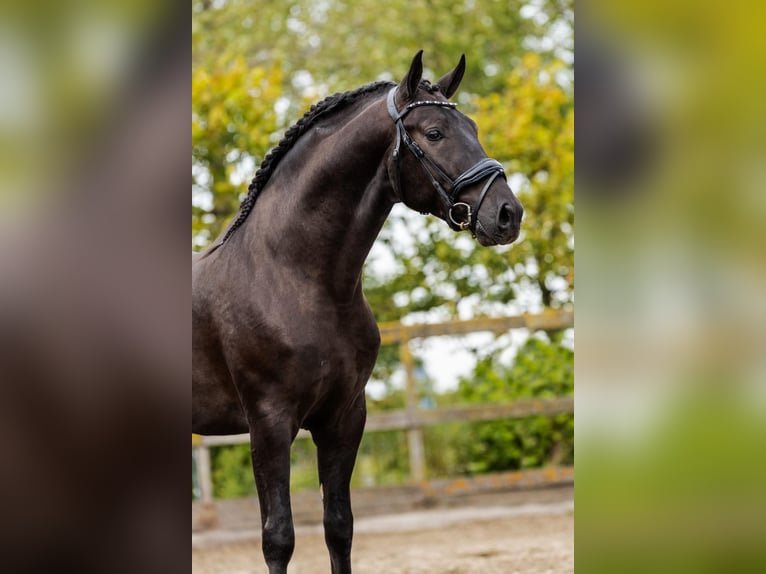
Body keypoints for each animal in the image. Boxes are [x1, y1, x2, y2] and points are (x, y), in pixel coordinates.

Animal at [195, 51, 524, 572]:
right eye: (435, 132)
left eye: (472, 126)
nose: (508, 214)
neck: (296, 277)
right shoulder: (269, 423)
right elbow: (278, 537)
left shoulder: (344, 418)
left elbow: (339, 527)